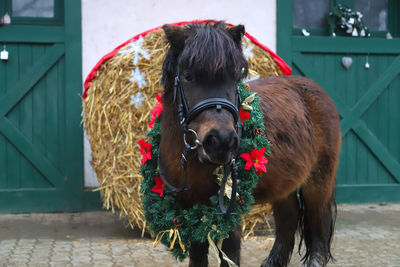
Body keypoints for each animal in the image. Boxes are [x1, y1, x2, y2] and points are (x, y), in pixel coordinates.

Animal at [159, 21, 340, 267]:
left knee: (318, 220)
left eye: (236, 77)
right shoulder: (191, 205)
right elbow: (198, 254)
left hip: (318, 180)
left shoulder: (230, 208)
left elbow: (230, 252)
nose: (221, 142)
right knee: (289, 217)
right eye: (188, 77)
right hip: (284, 185)